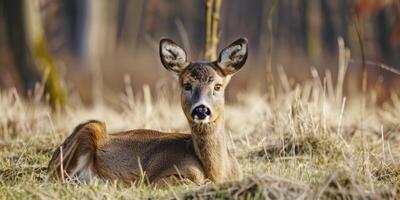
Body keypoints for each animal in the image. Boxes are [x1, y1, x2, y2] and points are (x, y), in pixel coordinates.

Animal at [48, 36, 248, 185]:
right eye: (187, 85)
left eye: (218, 86)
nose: (201, 110)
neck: (217, 173)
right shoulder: (161, 177)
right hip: (90, 128)